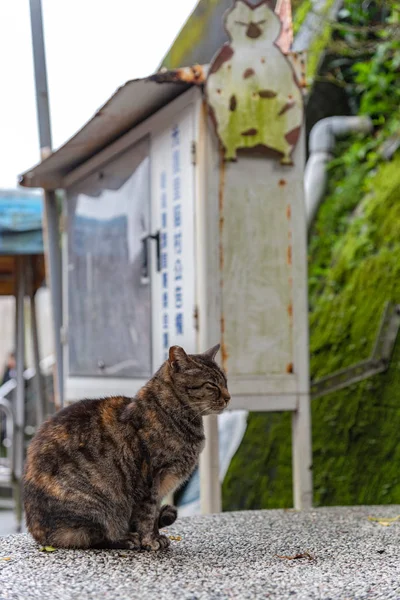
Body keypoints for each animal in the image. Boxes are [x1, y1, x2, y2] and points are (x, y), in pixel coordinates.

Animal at [23, 344, 230, 552]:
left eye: (225, 382)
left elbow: (154, 514)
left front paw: (157, 536)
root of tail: (37, 534)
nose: (228, 397)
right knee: (89, 537)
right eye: (212, 385)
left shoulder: (161, 487)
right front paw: (150, 540)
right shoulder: (150, 480)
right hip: (94, 506)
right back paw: (126, 539)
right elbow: (147, 515)